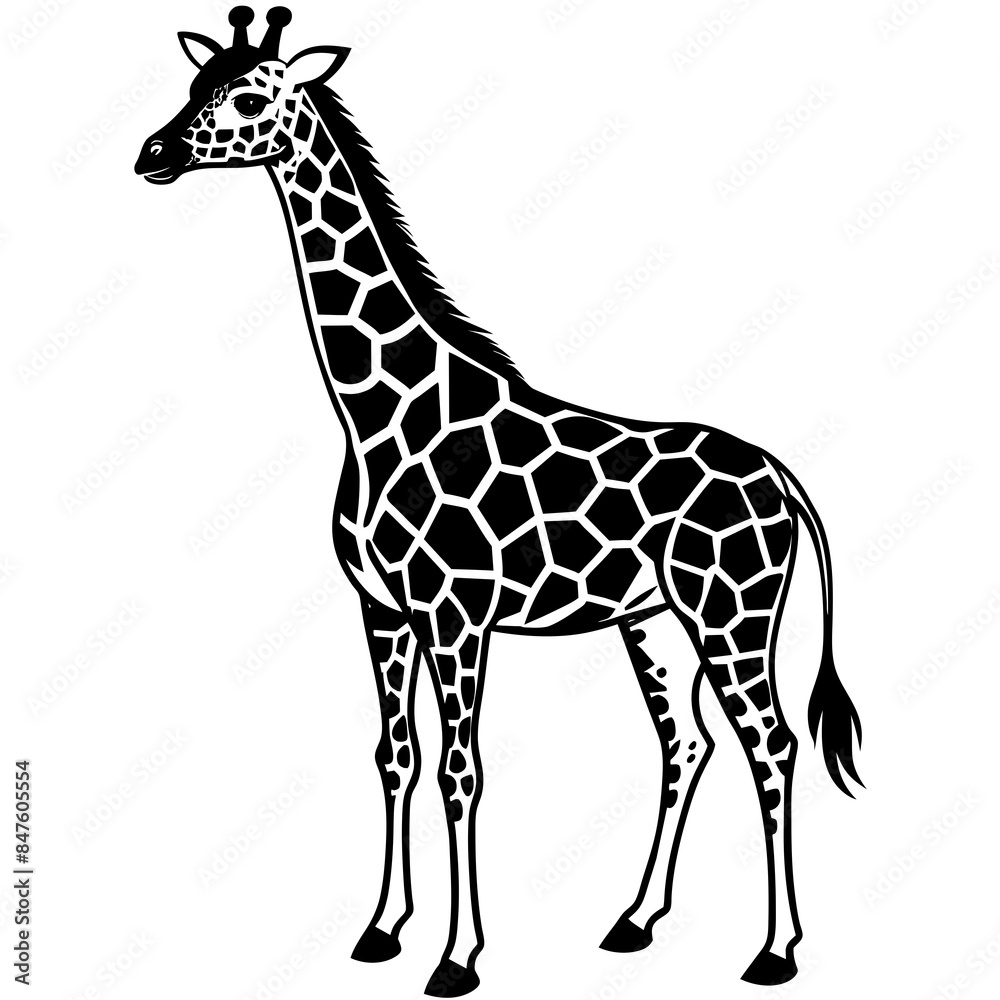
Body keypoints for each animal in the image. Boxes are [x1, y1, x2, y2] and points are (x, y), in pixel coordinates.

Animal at [135, 8, 863, 996]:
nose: (153, 153)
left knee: (772, 745)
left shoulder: (456, 615)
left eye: (251, 96)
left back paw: (775, 951)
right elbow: (394, 758)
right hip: (654, 621)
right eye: (194, 84)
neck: (380, 411)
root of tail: (783, 478)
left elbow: (460, 771)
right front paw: (381, 930)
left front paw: (457, 958)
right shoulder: (382, 609)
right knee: (688, 744)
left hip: (733, 613)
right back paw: (635, 921)